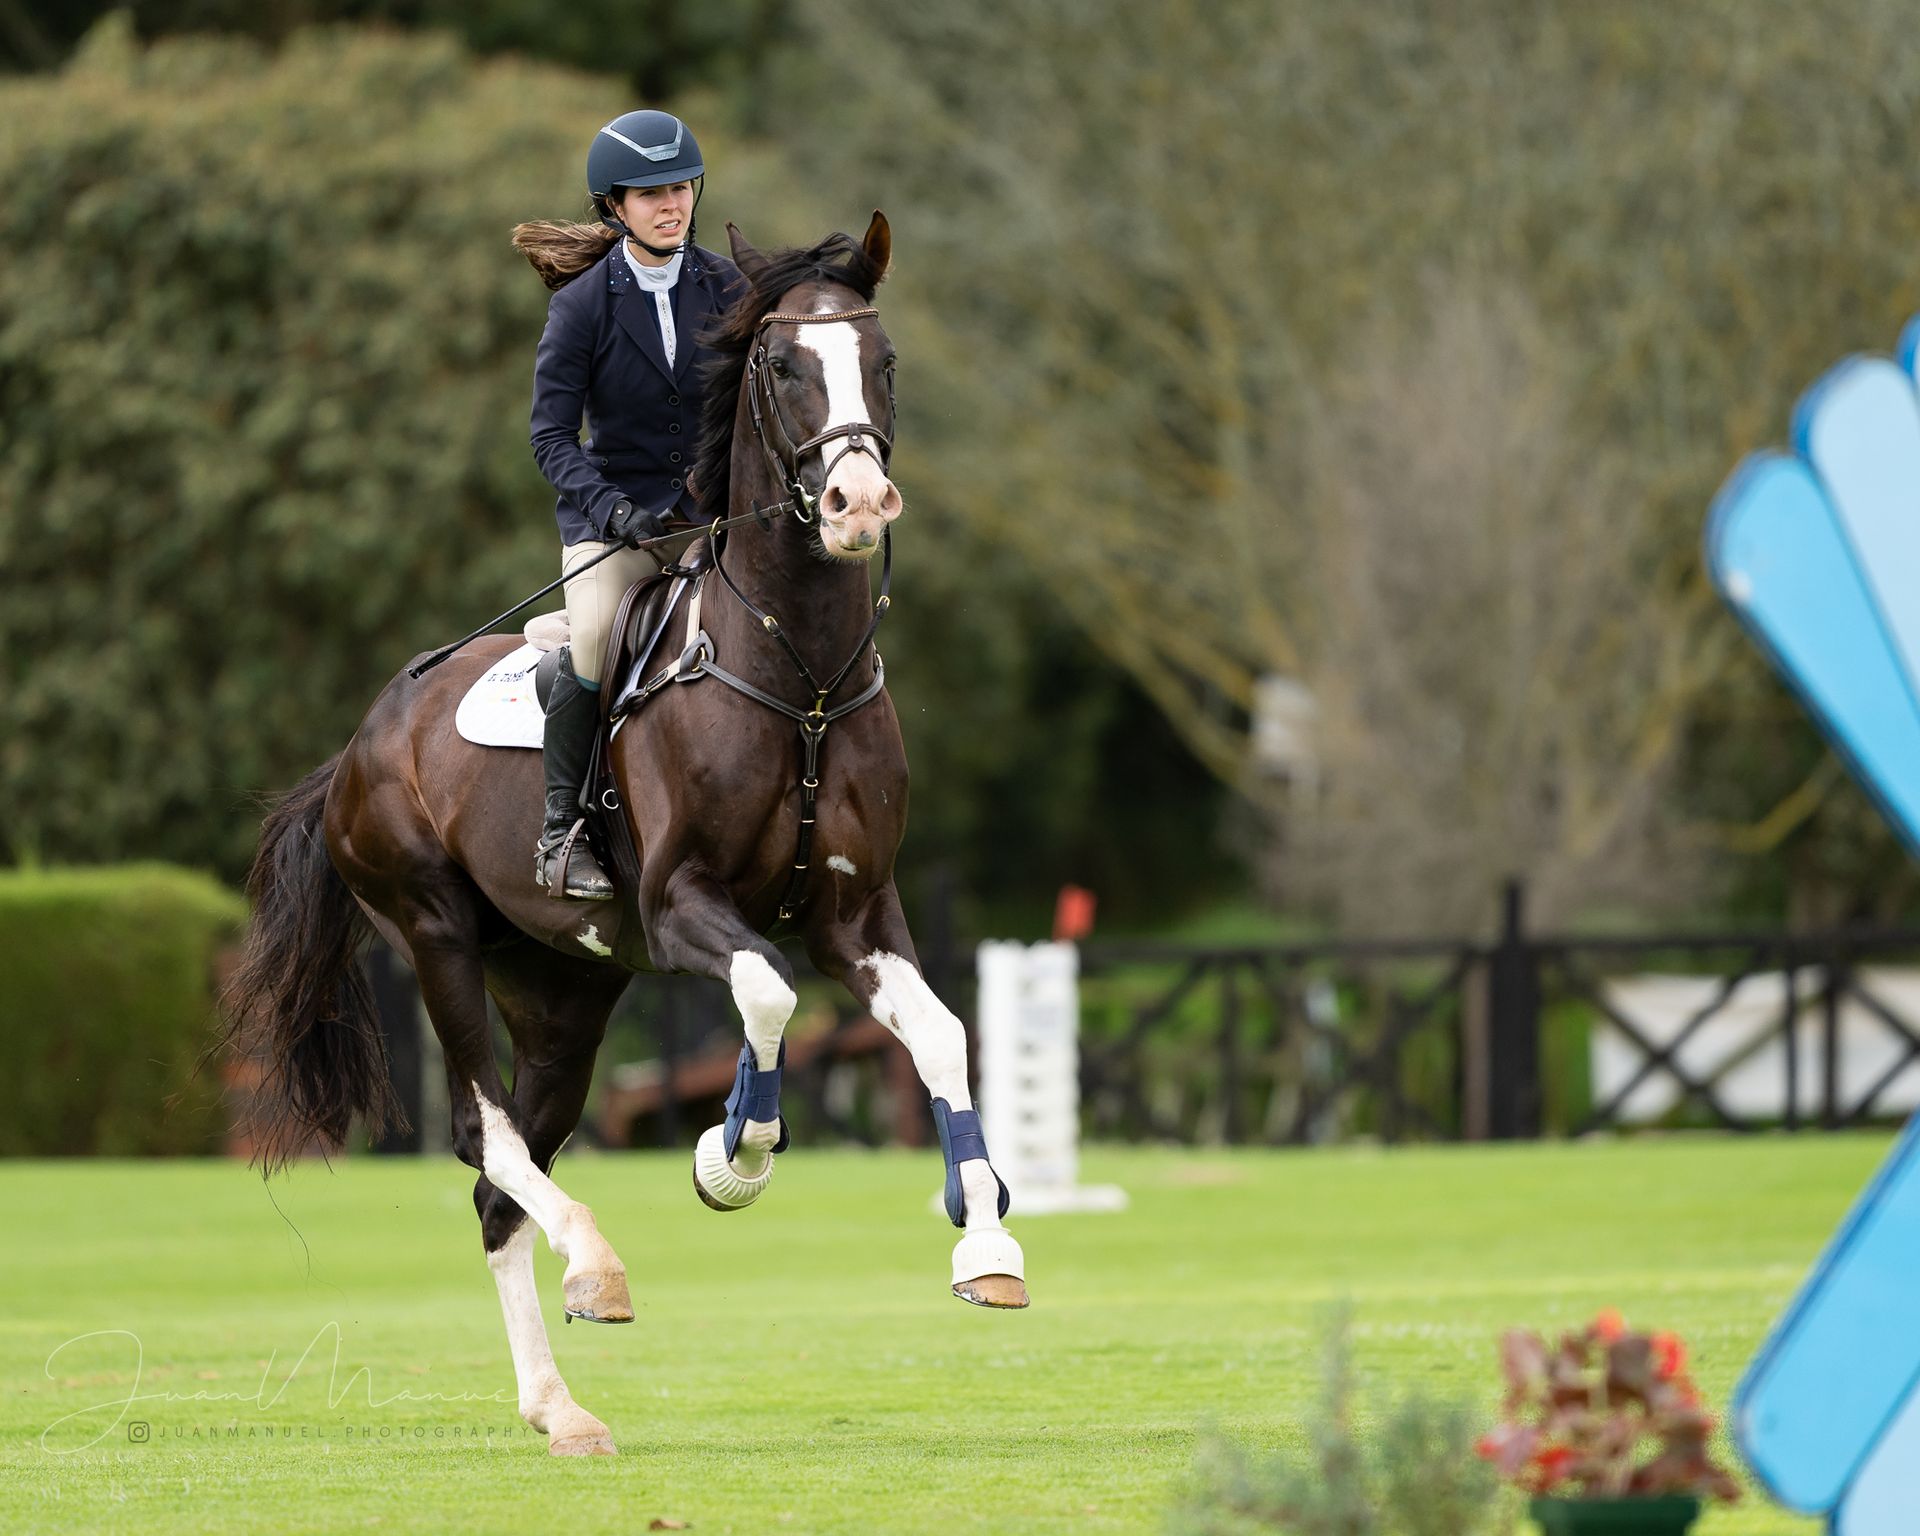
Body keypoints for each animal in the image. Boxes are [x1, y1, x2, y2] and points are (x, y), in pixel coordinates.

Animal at [221, 213, 1028, 1459]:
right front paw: (730, 1159)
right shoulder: (683, 903)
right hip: (435, 935)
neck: (798, 674)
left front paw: (986, 1244)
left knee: (497, 1188)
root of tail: (360, 741)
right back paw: (595, 1264)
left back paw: (560, 1407)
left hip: (565, 994)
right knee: (488, 1136)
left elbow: (938, 1035)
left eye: (882, 360)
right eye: (780, 366)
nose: (858, 506)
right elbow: (767, 995)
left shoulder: (857, 915)